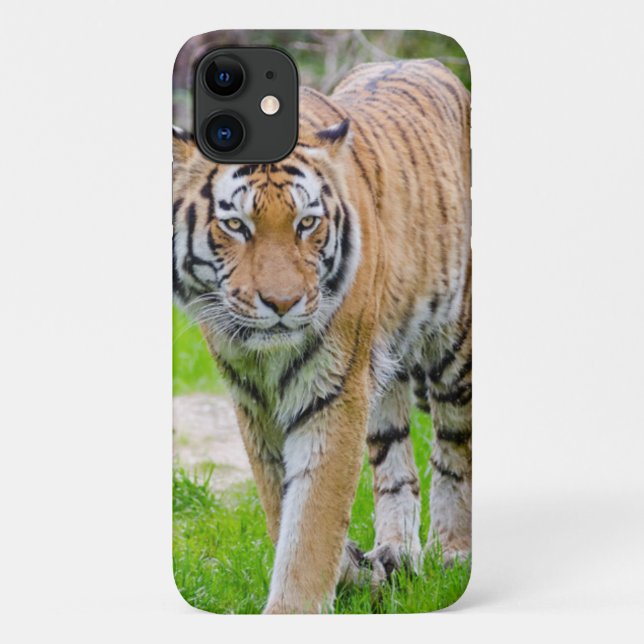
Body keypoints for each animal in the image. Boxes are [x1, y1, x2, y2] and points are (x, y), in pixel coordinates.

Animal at [173, 58, 471, 614]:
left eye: (307, 223)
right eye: (235, 225)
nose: (283, 303)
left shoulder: (334, 392)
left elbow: (312, 517)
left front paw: (297, 607)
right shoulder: (254, 403)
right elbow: (282, 506)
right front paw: (356, 572)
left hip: (454, 349)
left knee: (453, 451)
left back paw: (452, 553)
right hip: (384, 373)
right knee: (395, 463)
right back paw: (397, 553)